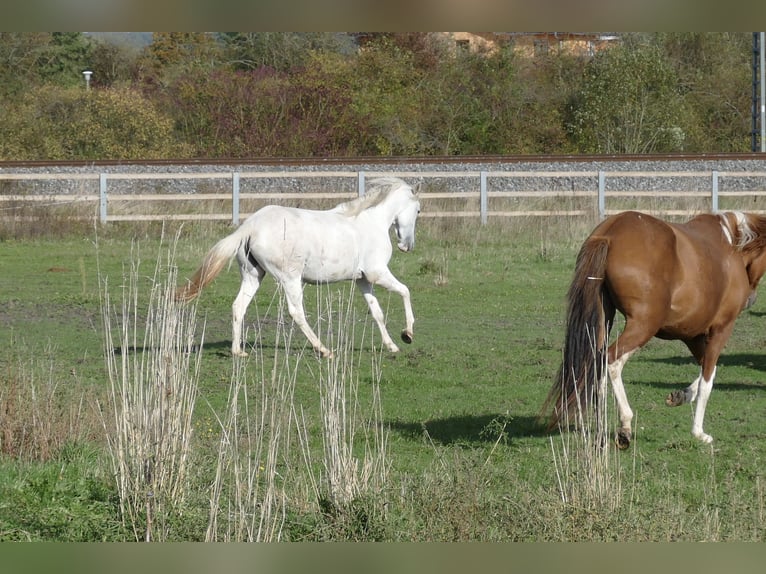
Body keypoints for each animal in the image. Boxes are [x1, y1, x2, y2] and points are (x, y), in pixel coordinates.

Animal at [178, 178, 424, 358]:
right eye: (419, 210)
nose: (407, 246)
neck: (371, 222)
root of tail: (251, 226)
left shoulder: (363, 280)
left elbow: (377, 312)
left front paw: (392, 345)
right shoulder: (378, 273)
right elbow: (405, 291)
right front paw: (408, 334)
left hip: (253, 275)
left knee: (239, 306)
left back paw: (238, 352)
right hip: (290, 279)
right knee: (297, 312)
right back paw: (324, 350)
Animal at [544, 212, 766, 450]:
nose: (751, 299)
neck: (732, 243)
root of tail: (610, 232)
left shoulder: (692, 335)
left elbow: (708, 369)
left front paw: (681, 396)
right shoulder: (720, 329)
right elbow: (708, 380)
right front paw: (698, 431)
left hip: (603, 322)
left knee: (596, 364)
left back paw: (602, 429)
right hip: (643, 326)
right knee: (610, 361)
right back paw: (625, 425)